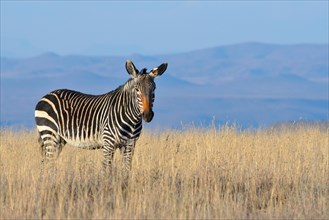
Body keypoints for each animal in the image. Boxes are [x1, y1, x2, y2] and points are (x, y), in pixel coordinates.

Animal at [34, 60, 168, 186]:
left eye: (154, 89)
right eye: (137, 90)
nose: (148, 115)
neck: (132, 120)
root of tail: (47, 95)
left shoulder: (130, 144)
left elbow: (126, 169)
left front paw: (125, 187)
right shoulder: (109, 143)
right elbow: (106, 169)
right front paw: (104, 189)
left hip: (59, 140)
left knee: (45, 162)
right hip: (50, 134)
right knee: (49, 163)